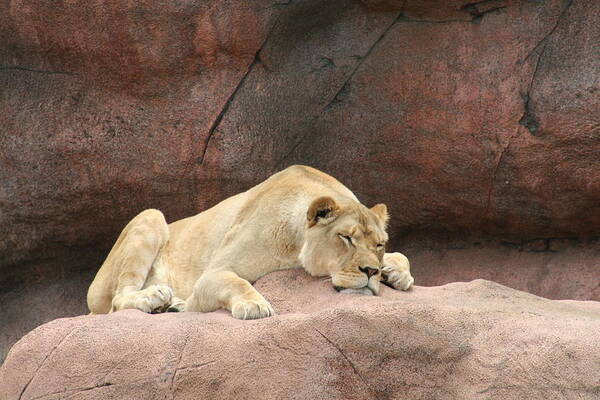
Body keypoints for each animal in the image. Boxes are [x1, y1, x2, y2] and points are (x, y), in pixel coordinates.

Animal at [86, 165, 414, 318]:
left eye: (379, 244)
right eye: (345, 237)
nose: (371, 271)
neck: (296, 246)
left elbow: (402, 255)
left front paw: (398, 273)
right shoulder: (211, 275)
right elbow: (236, 281)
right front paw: (255, 305)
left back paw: (172, 305)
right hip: (150, 216)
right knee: (116, 302)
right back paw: (155, 298)